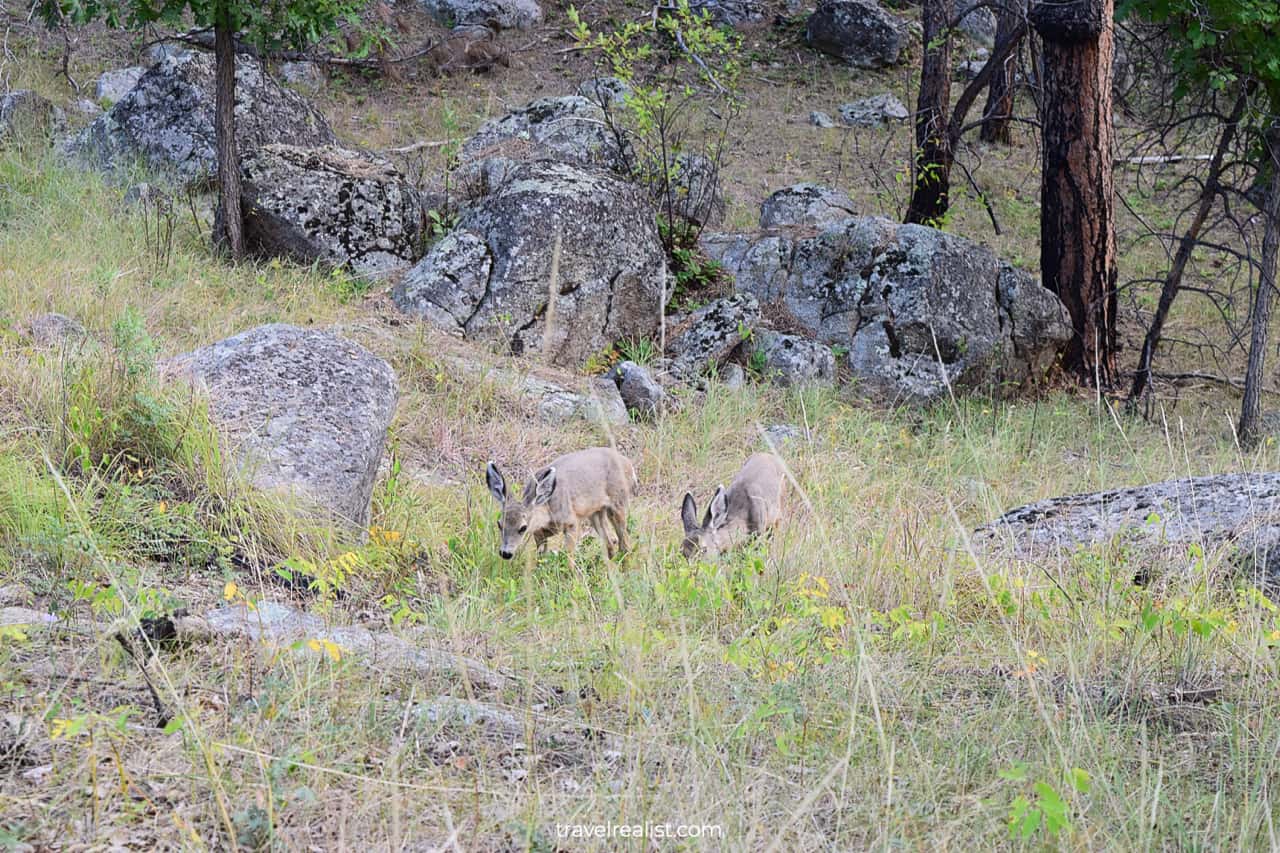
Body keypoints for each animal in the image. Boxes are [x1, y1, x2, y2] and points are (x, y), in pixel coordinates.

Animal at [483, 445, 634, 563]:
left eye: (523, 527)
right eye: (499, 524)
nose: (505, 553)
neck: (547, 510)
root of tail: (628, 464)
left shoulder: (572, 522)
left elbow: (568, 558)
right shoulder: (538, 532)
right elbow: (541, 556)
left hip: (618, 503)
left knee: (625, 543)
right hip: (596, 512)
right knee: (611, 541)